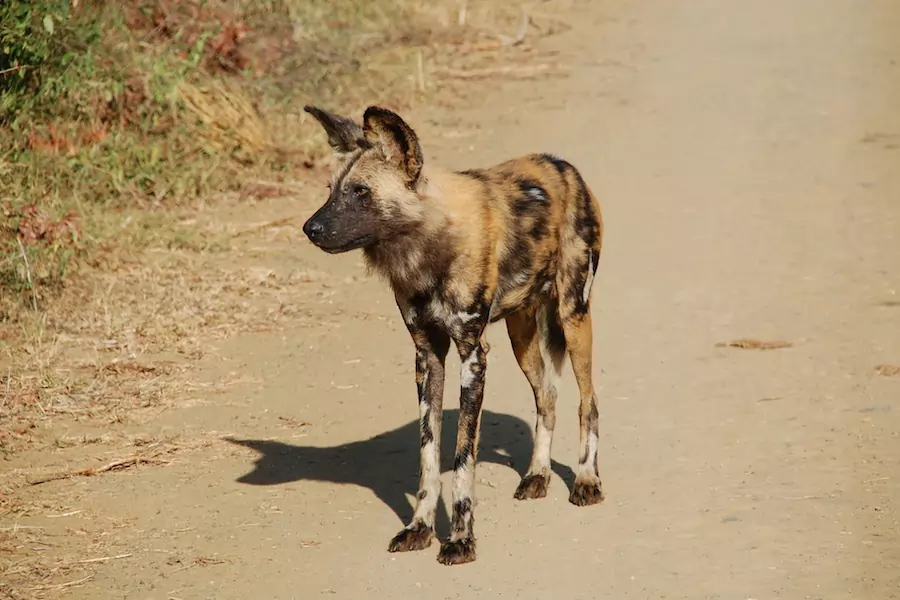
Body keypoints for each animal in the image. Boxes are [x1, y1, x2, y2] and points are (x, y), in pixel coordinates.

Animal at [302, 105, 604, 564]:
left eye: (361, 192)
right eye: (331, 190)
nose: (310, 228)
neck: (428, 250)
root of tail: (563, 166)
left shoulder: (472, 356)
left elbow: (462, 459)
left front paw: (460, 540)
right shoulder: (428, 356)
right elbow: (428, 456)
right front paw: (420, 529)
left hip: (573, 319)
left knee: (588, 402)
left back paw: (586, 480)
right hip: (521, 336)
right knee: (547, 398)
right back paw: (537, 475)